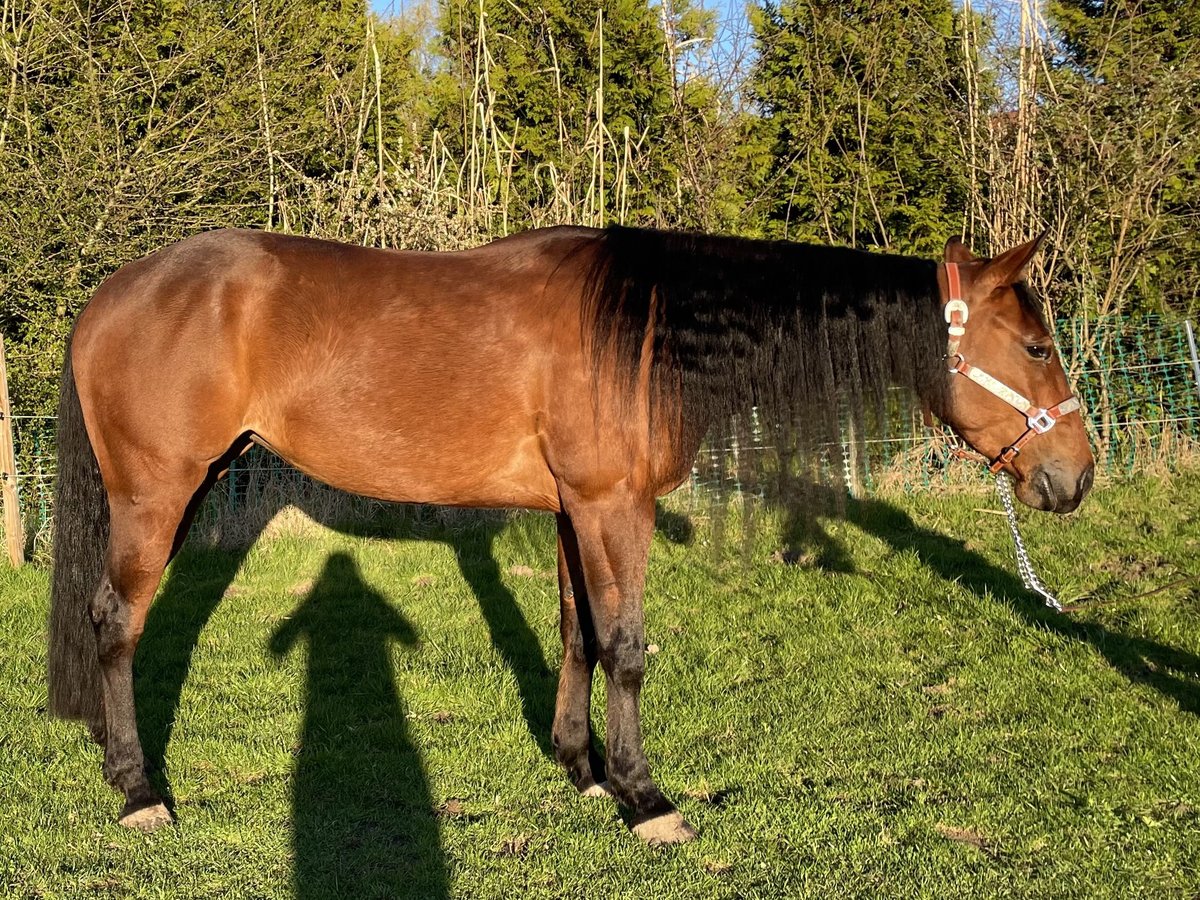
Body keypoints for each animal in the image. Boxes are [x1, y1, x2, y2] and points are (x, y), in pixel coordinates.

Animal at [47, 225, 1094, 844]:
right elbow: (625, 646)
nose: (1075, 477)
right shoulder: (610, 505)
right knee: (116, 622)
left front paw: (581, 770)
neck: (646, 332)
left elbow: (576, 634)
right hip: (156, 495)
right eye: (1037, 346)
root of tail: (110, 295)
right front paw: (645, 799)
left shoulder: (568, 510)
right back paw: (140, 791)